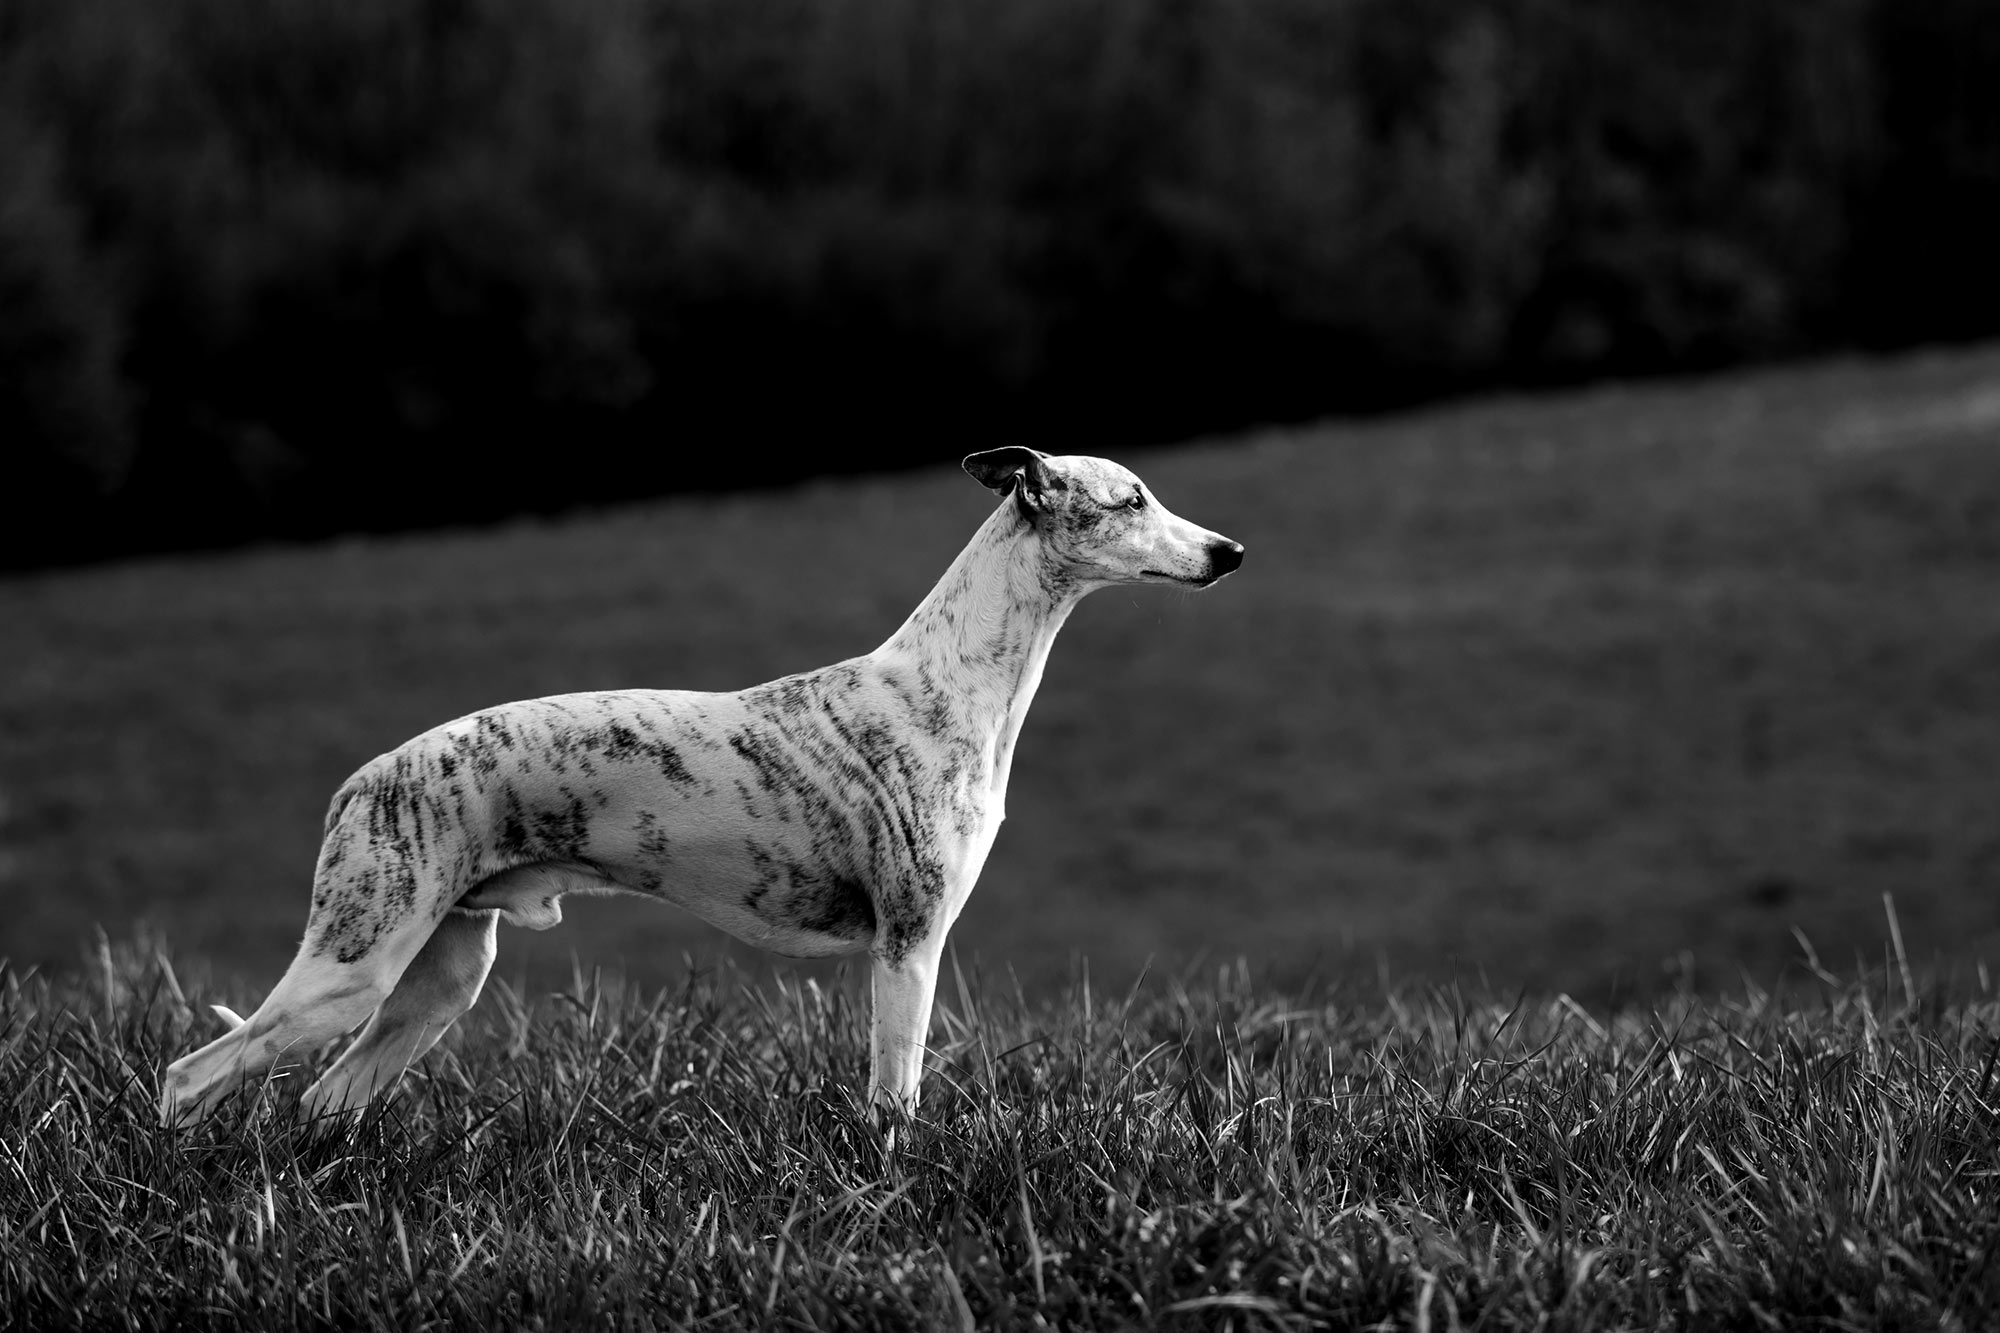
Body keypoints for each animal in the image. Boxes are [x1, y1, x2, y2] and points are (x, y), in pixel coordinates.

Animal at [160, 446, 1232, 1120]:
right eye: (1132, 498)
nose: (1233, 551)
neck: (948, 680)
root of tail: (360, 780)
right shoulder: (909, 943)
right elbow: (895, 1098)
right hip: (352, 966)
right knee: (190, 1074)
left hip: (438, 979)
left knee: (318, 1098)